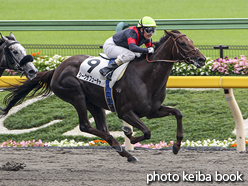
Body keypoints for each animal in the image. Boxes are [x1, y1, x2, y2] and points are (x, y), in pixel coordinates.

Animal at [0, 30, 205, 161]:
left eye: (192, 42)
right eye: (183, 43)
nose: (201, 59)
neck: (146, 76)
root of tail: (57, 68)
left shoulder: (152, 110)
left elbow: (178, 113)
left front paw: (176, 145)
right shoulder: (125, 111)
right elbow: (146, 132)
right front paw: (130, 136)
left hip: (94, 102)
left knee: (101, 128)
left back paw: (124, 151)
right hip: (76, 95)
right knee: (85, 125)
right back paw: (121, 145)